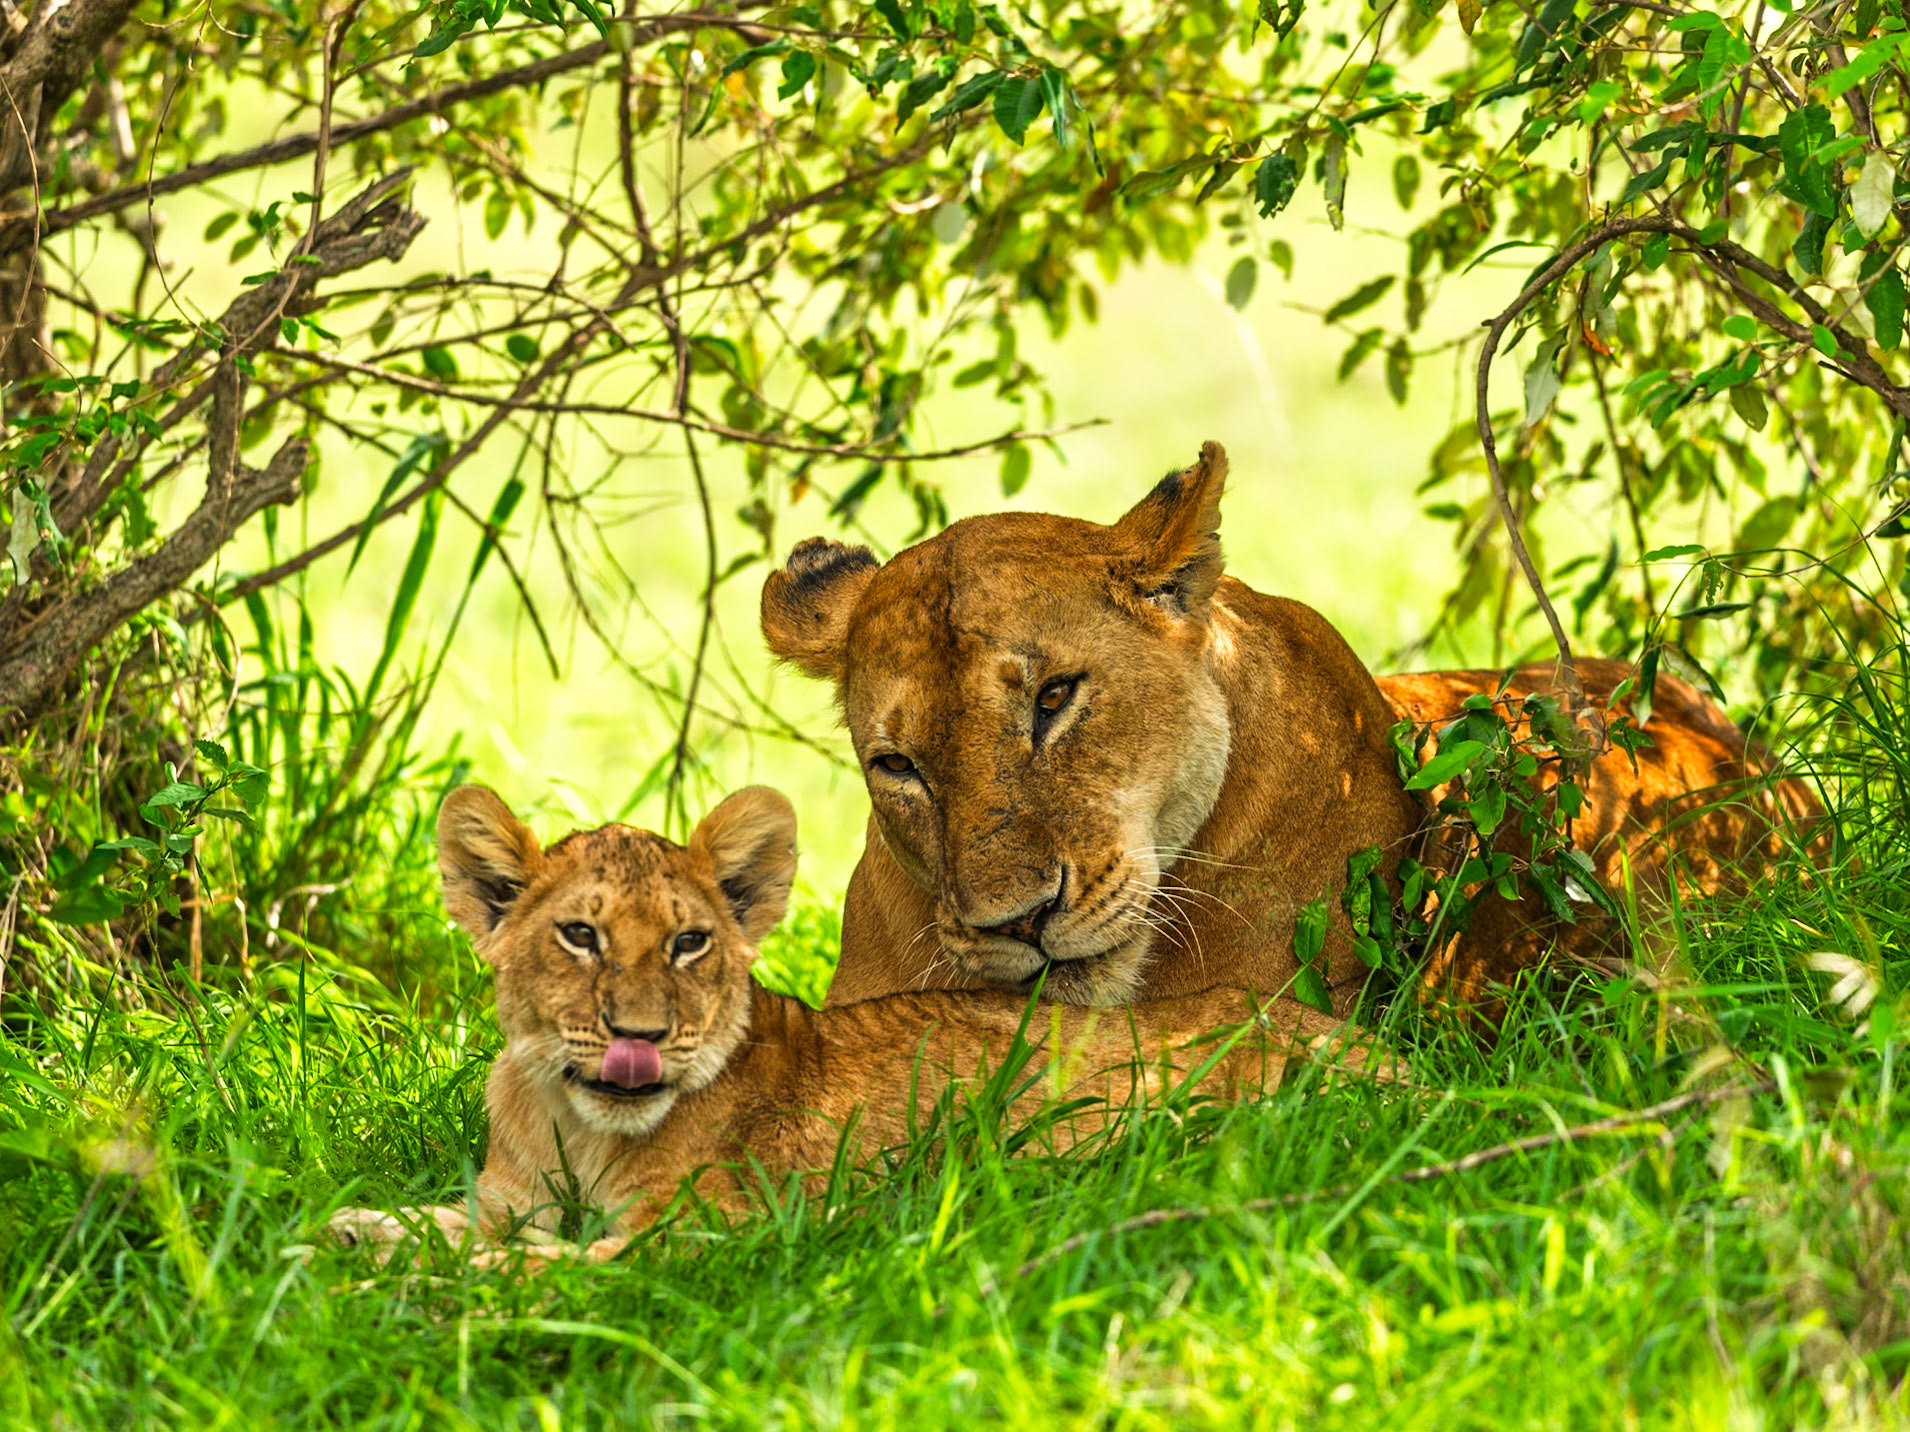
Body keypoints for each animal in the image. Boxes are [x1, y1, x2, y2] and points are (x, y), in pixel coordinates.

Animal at [328, 785, 1365, 1262]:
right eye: (580, 936)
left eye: (690, 943)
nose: (641, 1038)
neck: (576, 1131)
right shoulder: (507, 1193)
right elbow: (458, 1220)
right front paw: (356, 1226)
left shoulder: (709, 1234)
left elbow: (532, 1264)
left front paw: (406, 1274)